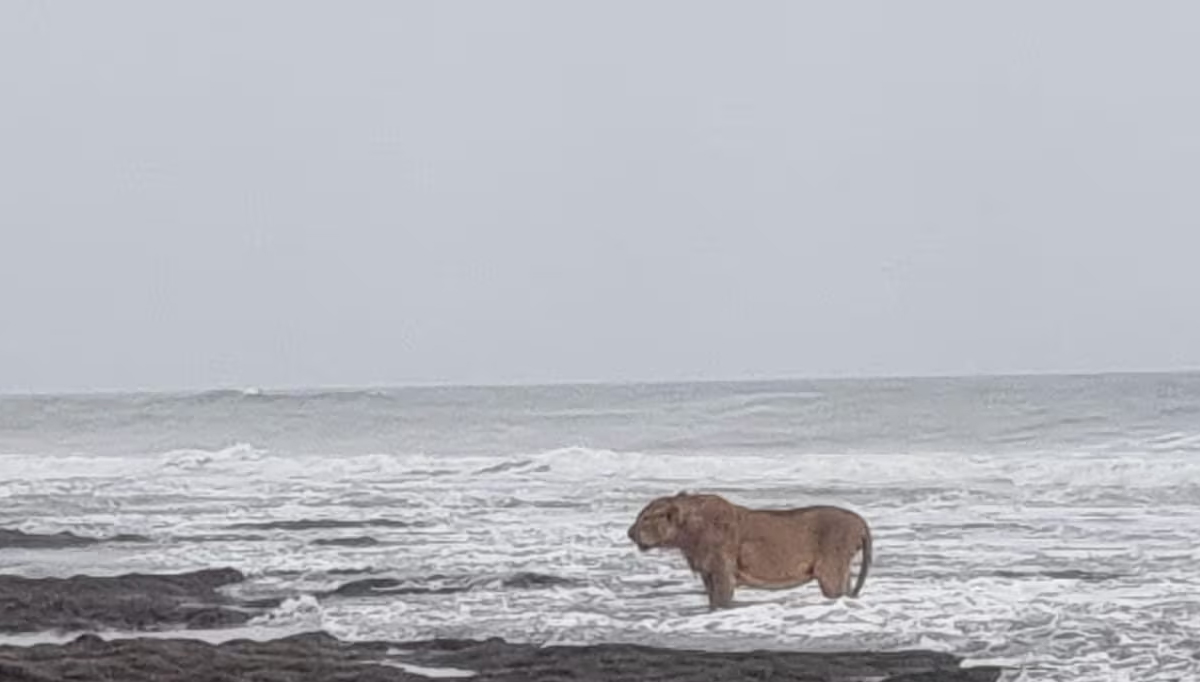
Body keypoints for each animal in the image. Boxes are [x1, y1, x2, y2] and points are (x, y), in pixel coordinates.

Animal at [628, 492, 873, 609]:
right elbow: (711, 601)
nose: (629, 533)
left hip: (830, 571)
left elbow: (721, 602)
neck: (686, 534)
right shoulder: (708, 573)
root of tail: (860, 521)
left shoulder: (722, 571)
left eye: (645, 518)